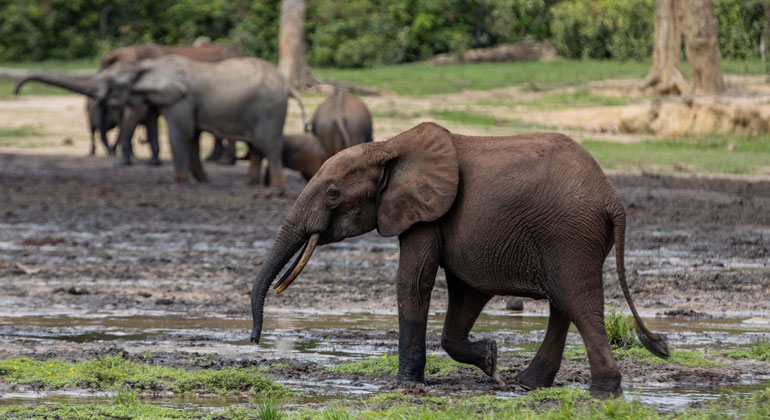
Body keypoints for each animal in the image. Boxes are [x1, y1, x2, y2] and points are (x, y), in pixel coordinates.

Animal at [250, 122, 664, 400]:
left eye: (333, 194)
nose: (254, 339)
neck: (387, 147)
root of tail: (612, 199)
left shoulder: (426, 213)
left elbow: (414, 282)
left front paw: (407, 384)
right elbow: (464, 292)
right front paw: (491, 359)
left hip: (569, 235)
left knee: (578, 301)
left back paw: (602, 393)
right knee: (564, 302)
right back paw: (528, 383)